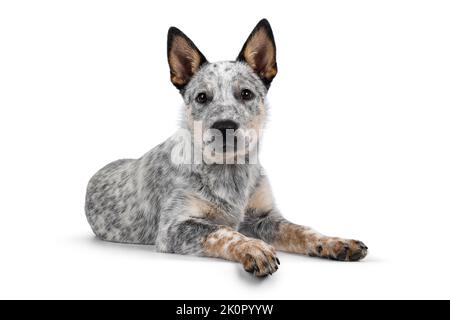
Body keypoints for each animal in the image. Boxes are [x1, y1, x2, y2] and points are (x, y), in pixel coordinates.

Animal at [86, 18, 368, 276]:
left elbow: (301, 230)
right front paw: (254, 248)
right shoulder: (174, 227)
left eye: (246, 93)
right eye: (202, 97)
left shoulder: (265, 217)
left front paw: (335, 242)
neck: (229, 172)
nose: (224, 125)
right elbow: (223, 231)